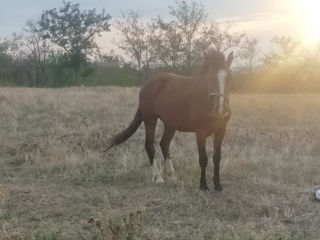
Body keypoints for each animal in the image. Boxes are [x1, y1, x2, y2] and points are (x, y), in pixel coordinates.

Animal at [105, 50, 232, 191]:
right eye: (211, 78)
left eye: (230, 78)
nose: (220, 110)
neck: (206, 99)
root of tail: (147, 85)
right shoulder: (200, 133)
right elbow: (203, 159)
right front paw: (203, 186)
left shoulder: (221, 131)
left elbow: (217, 157)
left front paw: (218, 185)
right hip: (150, 119)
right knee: (150, 145)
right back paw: (158, 177)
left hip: (170, 124)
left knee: (164, 144)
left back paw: (172, 175)